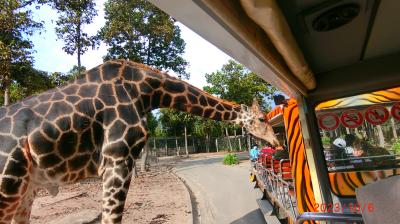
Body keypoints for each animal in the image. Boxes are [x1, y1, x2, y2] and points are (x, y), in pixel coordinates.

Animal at [0, 59, 278, 222]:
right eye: (261, 118)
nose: (277, 143)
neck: (144, 90)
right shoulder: (116, 160)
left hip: (26, 190)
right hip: (8, 187)